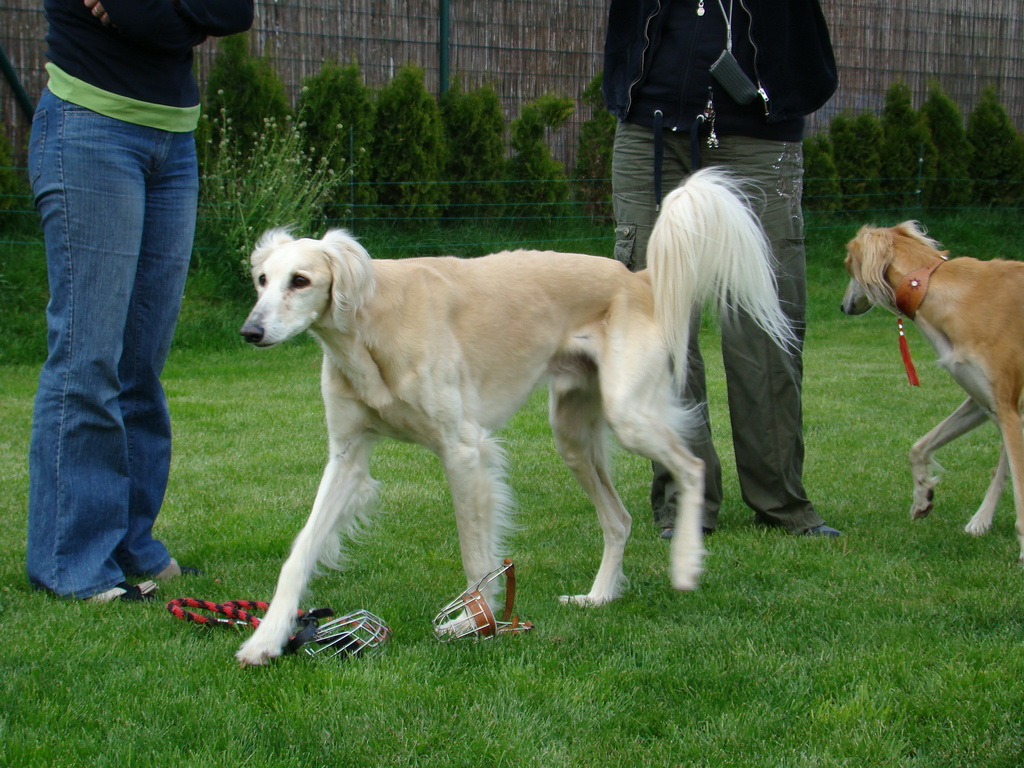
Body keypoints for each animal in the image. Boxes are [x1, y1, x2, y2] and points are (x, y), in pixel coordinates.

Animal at [232, 169, 790, 667]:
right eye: (261, 280)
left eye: (300, 281)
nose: (250, 332)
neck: (370, 326)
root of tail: (639, 278)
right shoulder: (347, 457)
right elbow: (301, 550)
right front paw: (267, 638)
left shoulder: (463, 450)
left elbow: (475, 556)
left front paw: (477, 623)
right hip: (571, 434)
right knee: (620, 518)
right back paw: (599, 596)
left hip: (629, 415)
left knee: (692, 466)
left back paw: (687, 563)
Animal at [839, 219, 1024, 561]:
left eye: (847, 264)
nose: (844, 307)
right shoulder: (985, 402)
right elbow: (918, 447)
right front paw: (922, 496)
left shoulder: (1006, 408)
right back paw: (980, 521)